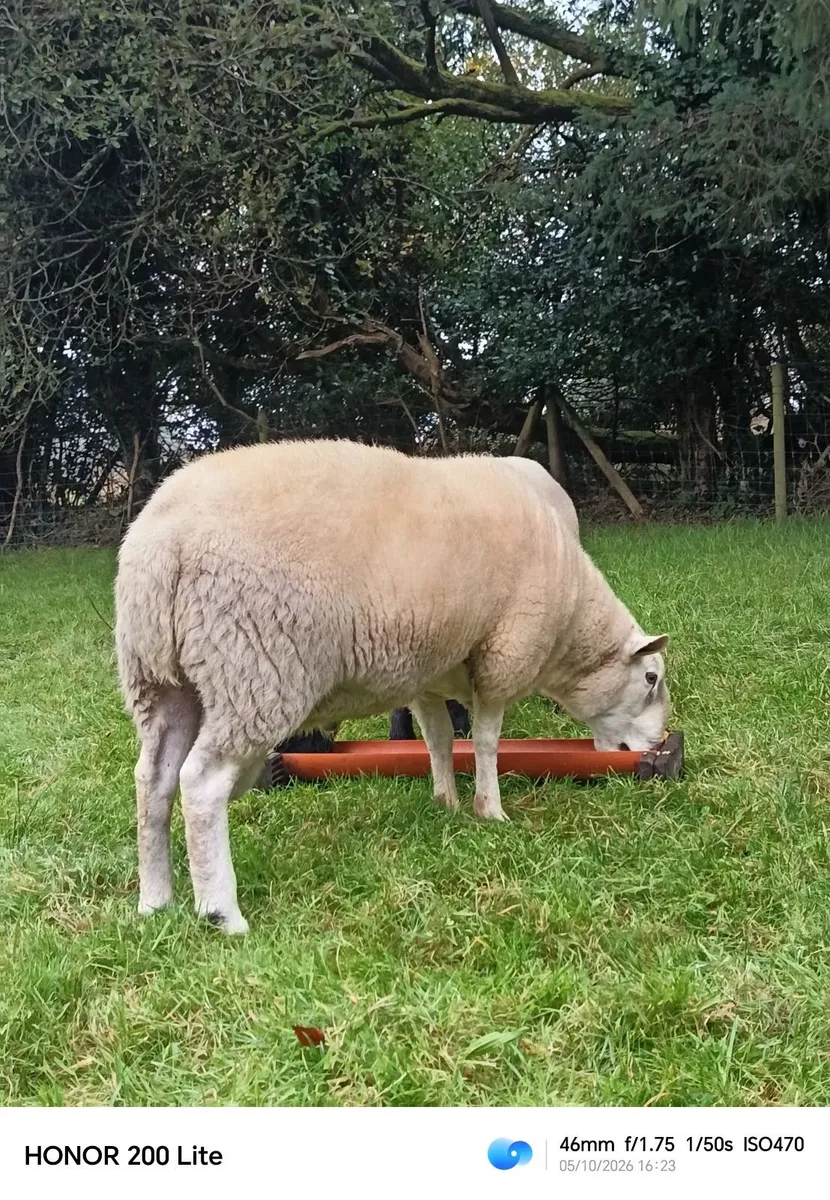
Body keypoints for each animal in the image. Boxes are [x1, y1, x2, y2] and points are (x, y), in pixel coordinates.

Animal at [115, 439, 669, 933]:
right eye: (651, 678)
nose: (661, 745)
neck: (570, 625)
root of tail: (163, 546)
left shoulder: (428, 673)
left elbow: (439, 741)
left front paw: (446, 802)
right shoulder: (502, 656)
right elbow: (486, 743)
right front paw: (490, 811)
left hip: (160, 679)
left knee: (154, 780)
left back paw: (155, 901)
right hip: (253, 668)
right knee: (201, 782)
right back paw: (221, 914)